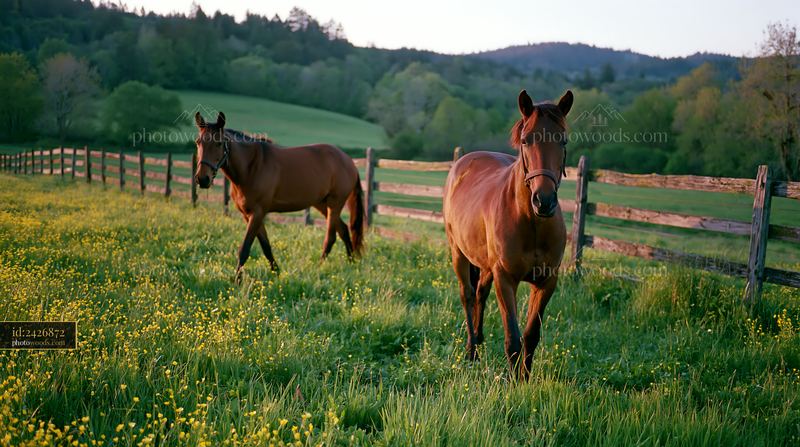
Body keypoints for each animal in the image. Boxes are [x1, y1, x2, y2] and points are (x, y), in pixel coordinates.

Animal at [193, 112, 365, 281]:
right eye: (198, 142)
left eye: (219, 143)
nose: (202, 179)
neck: (251, 167)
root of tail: (349, 161)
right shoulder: (248, 215)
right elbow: (265, 246)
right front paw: (276, 272)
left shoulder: (258, 213)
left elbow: (245, 248)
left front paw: (237, 280)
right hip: (323, 204)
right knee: (343, 230)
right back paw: (352, 264)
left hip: (335, 203)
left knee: (330, 238)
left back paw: (320, 268)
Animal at [442, 89, 573, 379]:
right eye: (526, 140)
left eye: (563, 140)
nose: (544, 201)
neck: (531, 223)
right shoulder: (505, 279)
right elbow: (512, 338)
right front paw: (513, 383)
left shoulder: (547, 282)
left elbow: (531, 335)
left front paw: (525, 379)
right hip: (458, 253)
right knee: (468, 295)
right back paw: (471, 351)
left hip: (485, 265)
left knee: (480, 293)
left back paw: (479, 341)